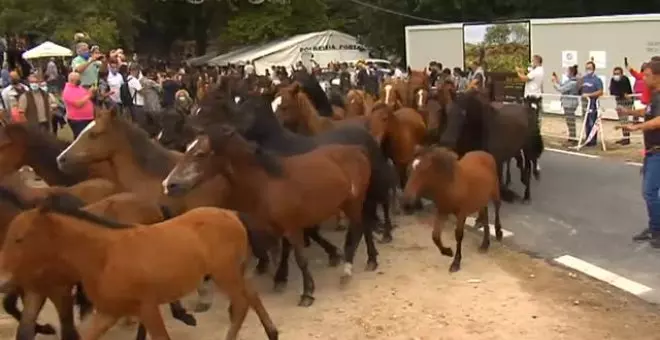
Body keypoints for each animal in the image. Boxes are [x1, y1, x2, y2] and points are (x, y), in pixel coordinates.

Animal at [161, 125, 376, 306]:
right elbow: (278, 255)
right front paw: (280, 279)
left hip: (353, 203)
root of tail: (357, 149)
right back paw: (369, 261)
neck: (267, 183)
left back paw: (349, 271)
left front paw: (307, 293)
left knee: (357, 230)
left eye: (200, 154)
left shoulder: (292, 228)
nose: (169, 185)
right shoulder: (272, 229)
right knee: (364, 226)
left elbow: (300, 259)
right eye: (186, 149)